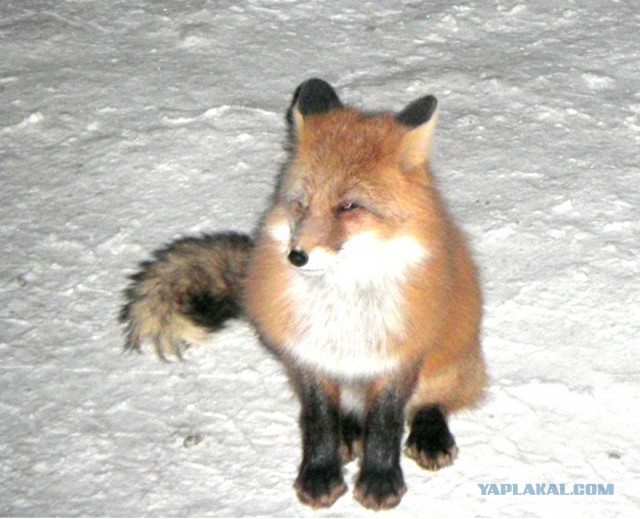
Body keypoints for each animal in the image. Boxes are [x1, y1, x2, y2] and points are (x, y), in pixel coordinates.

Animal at [120, 78, 486, 510]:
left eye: (349, 206)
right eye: (301, 205)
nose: (296, 256)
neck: (347, 299)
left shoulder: (400, 354)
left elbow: (386, 425)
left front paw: (380, 480)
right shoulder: (309, 355)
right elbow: (319, 422)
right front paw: (321, 473)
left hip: (451, 361)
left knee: (436, 400)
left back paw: (429, 433)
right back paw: (349, 435)